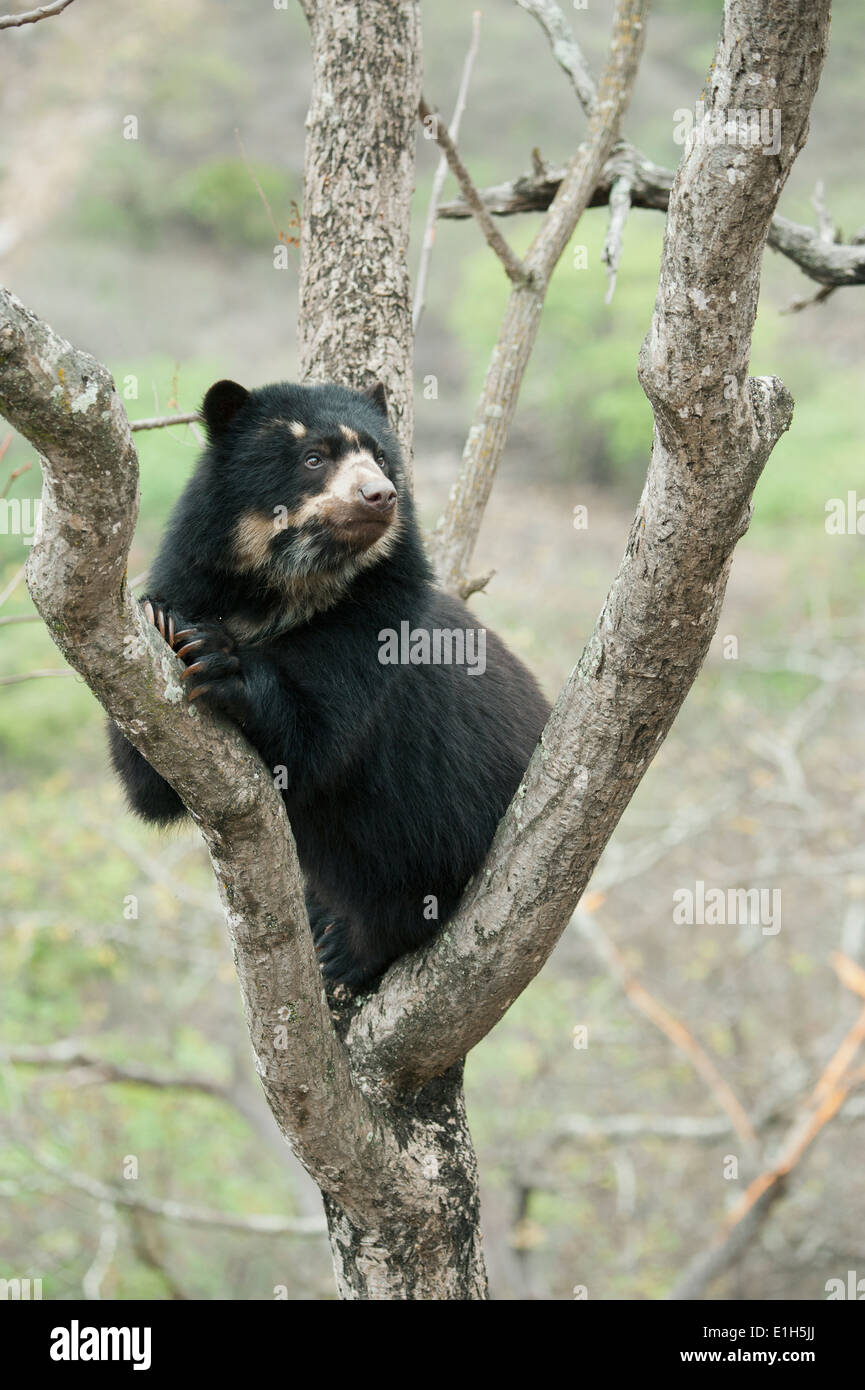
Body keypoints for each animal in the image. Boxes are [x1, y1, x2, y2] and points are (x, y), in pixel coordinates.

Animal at [108, 380, 553, 989]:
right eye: (313, 457)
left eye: (382, 457)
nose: (380, 495)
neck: (290, 589)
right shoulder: (196, 575)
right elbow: (154, 783)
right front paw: (163, 621)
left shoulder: (375, 625)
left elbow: (317, 731)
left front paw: (217, 658)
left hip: (449, 826)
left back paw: (345, 951)